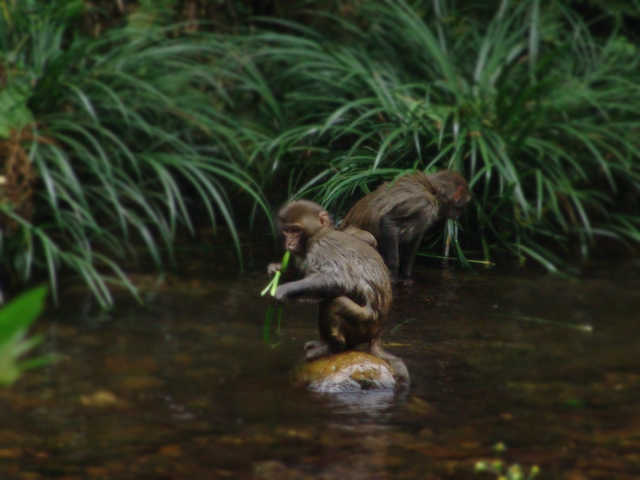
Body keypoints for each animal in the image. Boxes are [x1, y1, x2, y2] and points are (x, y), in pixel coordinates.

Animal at [338, 170, 472, 284]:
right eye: (461, 206)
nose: (460, 214)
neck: (432, 191)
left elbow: (415, 240)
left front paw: (406, 275)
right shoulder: (423, 204)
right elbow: (388, 222)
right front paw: (393, 276)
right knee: (371, 237)